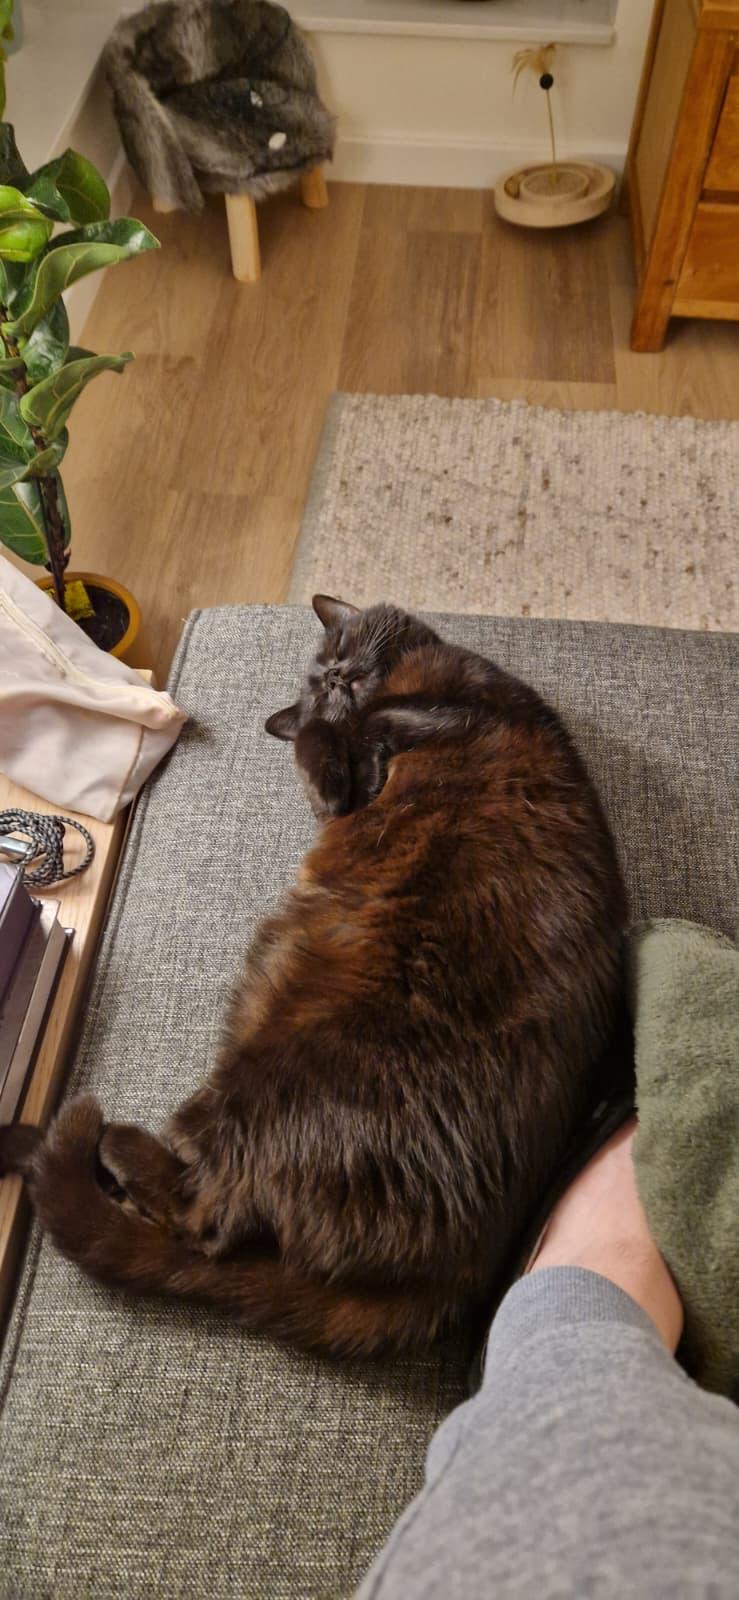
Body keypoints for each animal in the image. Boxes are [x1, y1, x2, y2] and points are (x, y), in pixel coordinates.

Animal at [0, 596, 628, 1357]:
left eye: (335, 654)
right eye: (323, 672)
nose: (333, 679)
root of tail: (464, 1271)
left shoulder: (475, 705)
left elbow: (385, 721)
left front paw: (365, 734)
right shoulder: (347, 791)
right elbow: (326, 755)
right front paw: (345, 742)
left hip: (277, 1076)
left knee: (206, 1220)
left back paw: (102, 1143)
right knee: (208, 1216)